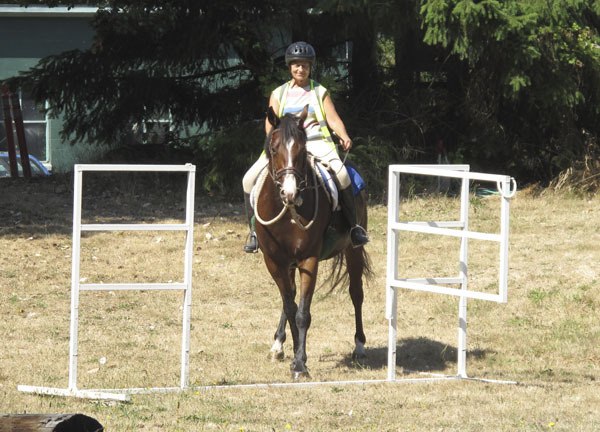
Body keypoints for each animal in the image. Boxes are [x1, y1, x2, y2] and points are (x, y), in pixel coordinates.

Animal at [253, 104, 370, 378]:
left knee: (356, 293)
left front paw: (300, 364)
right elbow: (290, 306)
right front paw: (292, 352)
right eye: (274, 149)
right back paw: (278, 345)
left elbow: (302, 313)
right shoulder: (274, 260)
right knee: (291, 297)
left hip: (353, 250)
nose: (290, 192)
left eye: (301, 150)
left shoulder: (309, 259)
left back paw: (359, 346)